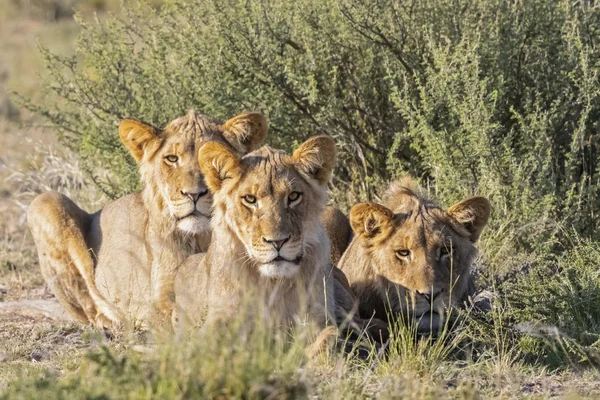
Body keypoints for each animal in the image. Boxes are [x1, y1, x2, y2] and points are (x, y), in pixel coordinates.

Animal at [27, 109, 268, 328]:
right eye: (172, 159)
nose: (194, 194)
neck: (202, 237)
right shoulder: (159, 299)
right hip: (45, 201)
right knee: (90, 305)